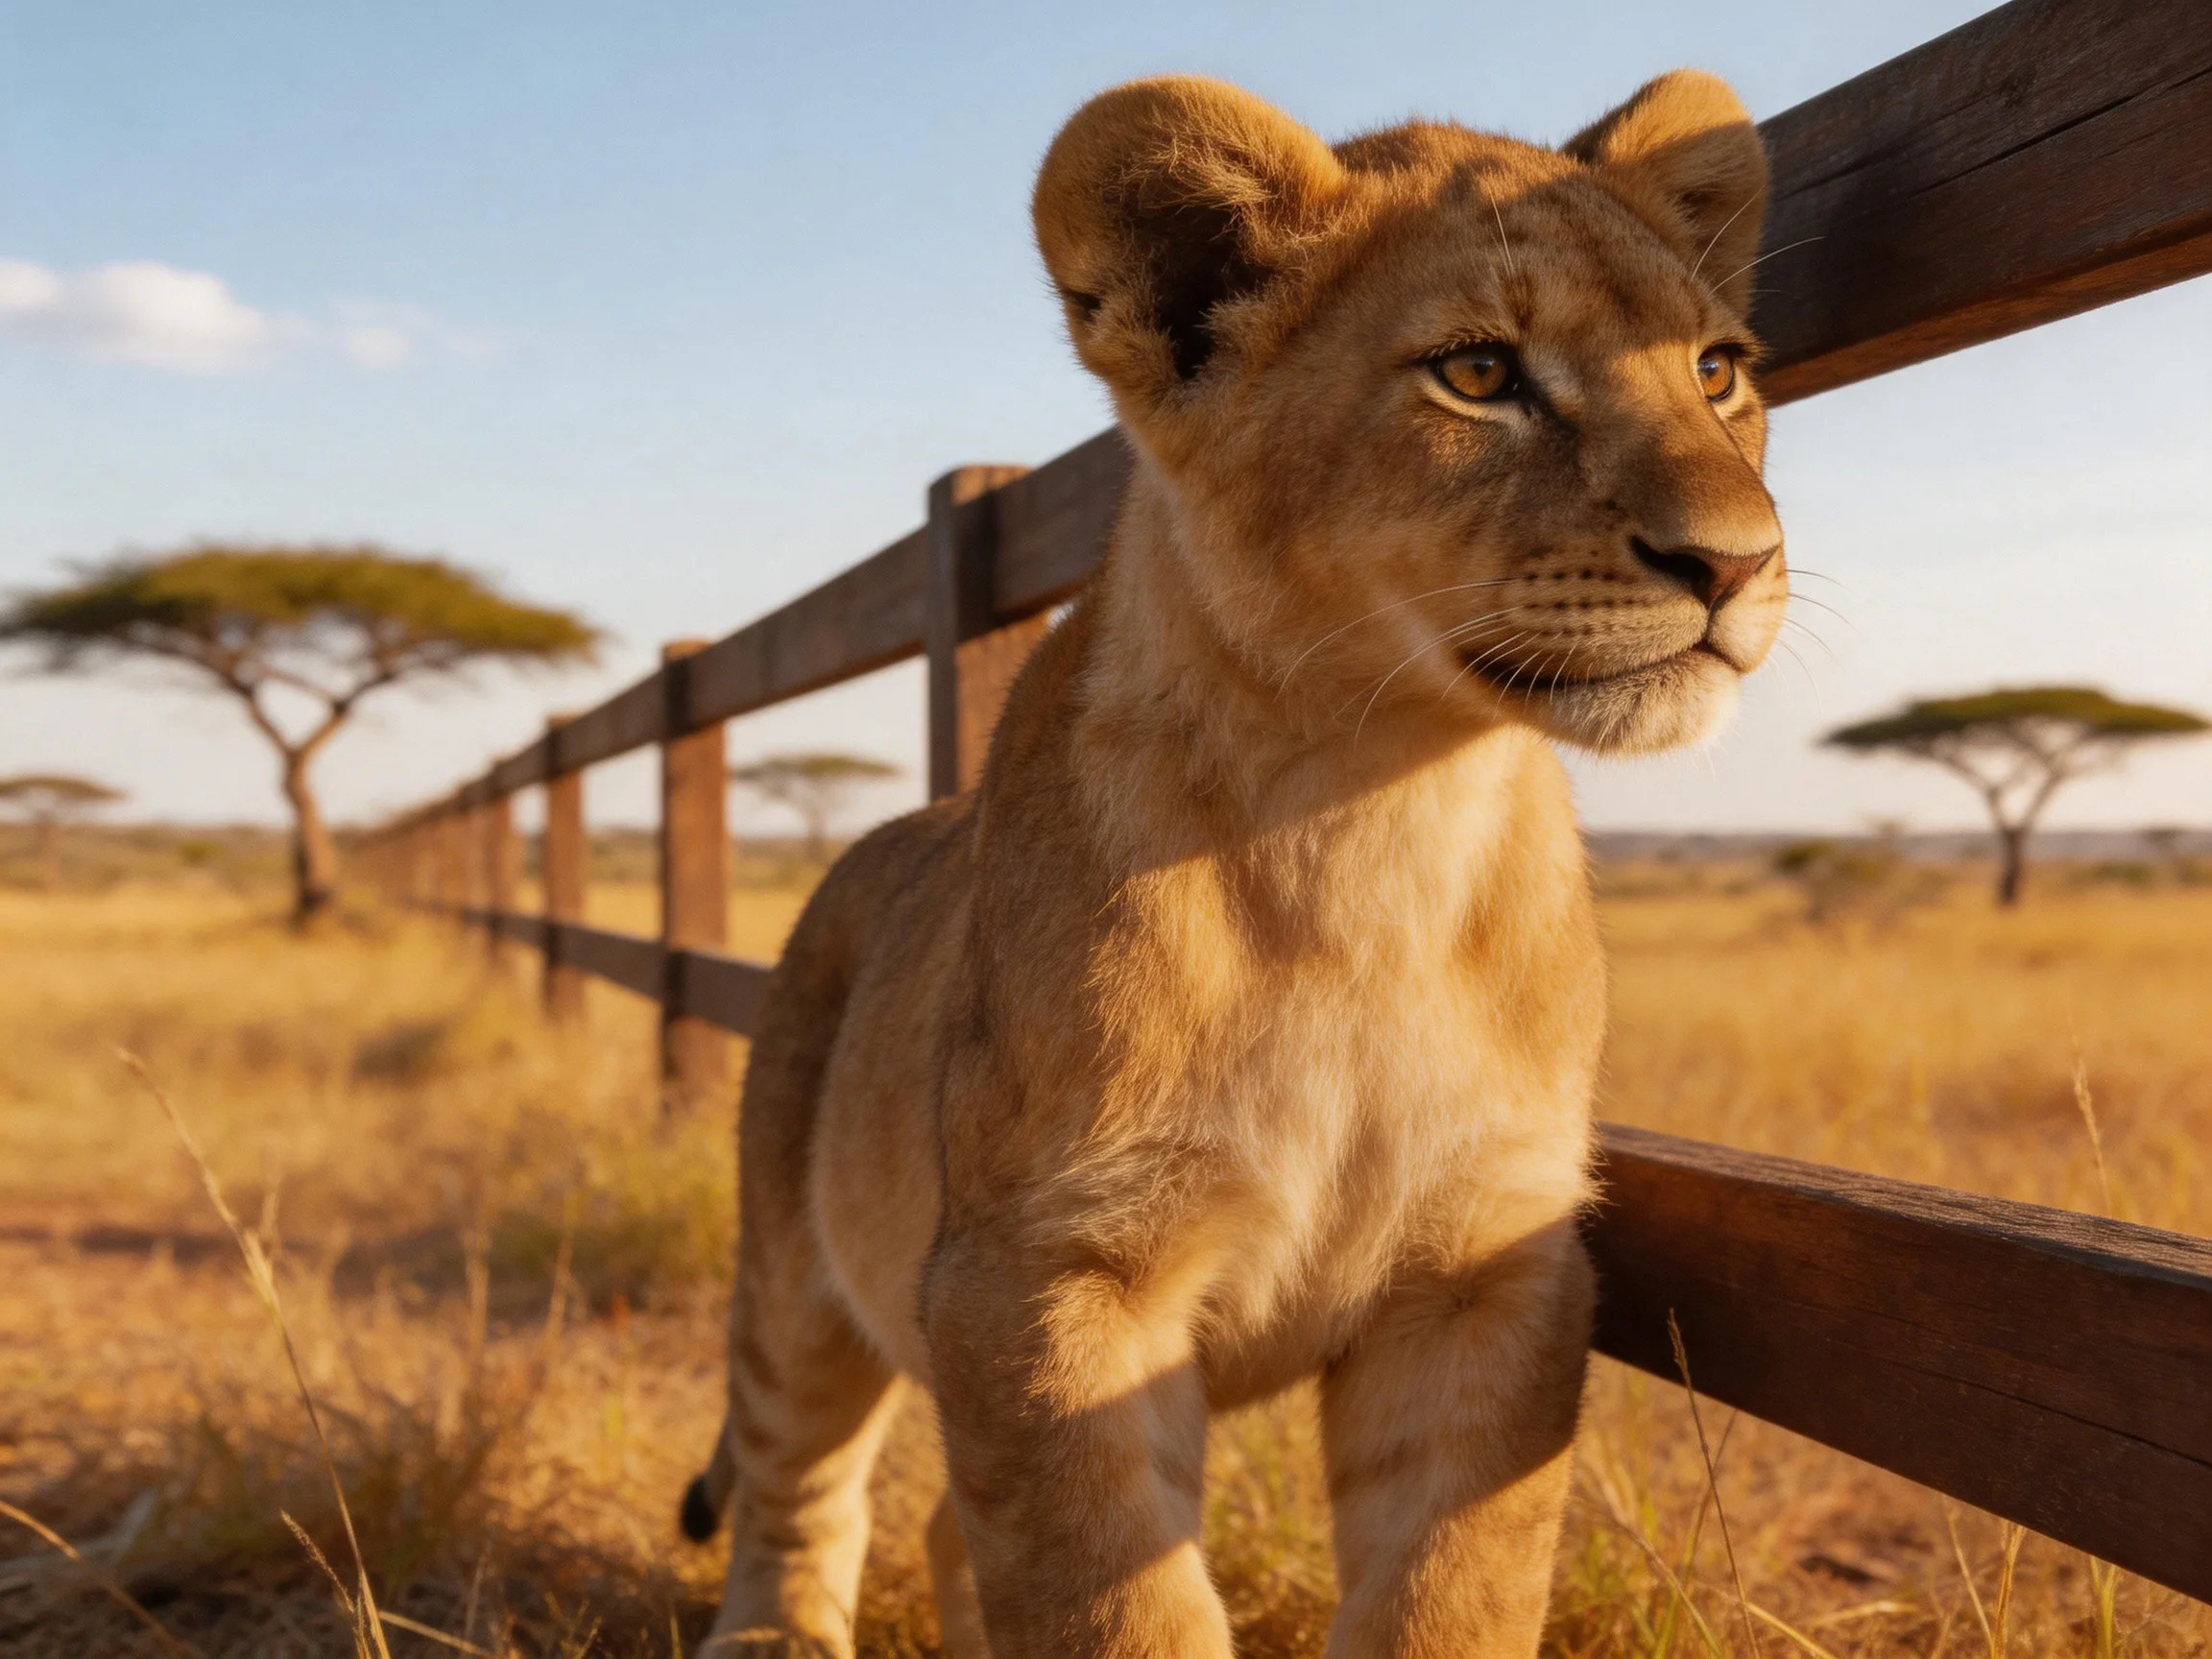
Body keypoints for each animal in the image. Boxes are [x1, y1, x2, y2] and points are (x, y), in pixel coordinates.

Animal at [681, 67, 1785, 1658]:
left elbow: (1453, 1594)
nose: (1740, 562)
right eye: (1478, 373)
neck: (1368, 821)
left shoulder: (1490, 1271)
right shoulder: (1046, 1275)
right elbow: (1114, 1605)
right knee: (796, 1471)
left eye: (1714, 370)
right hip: (797, 1269)